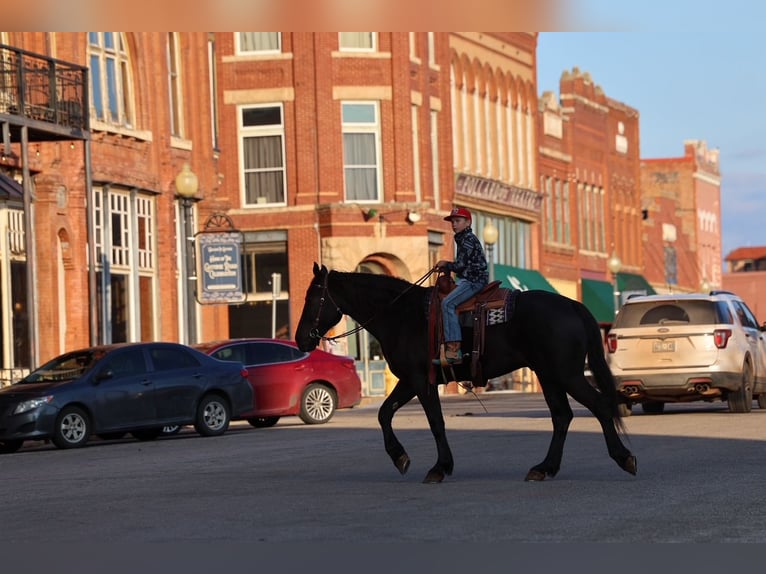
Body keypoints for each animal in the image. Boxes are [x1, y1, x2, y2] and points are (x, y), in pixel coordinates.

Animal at [295, 263, 637, 484]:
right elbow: (384, 413)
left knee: (598, 406)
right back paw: (544, 468)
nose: (300, 339)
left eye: (312, 298)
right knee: (562, 416)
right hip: (549, 374)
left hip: (566, 374)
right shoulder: (409, 380)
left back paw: (624, 458)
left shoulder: (421, 380)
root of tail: (573, 306)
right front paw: (400, 457)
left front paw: (439, 467)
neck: (400, 315)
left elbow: (435, 422)